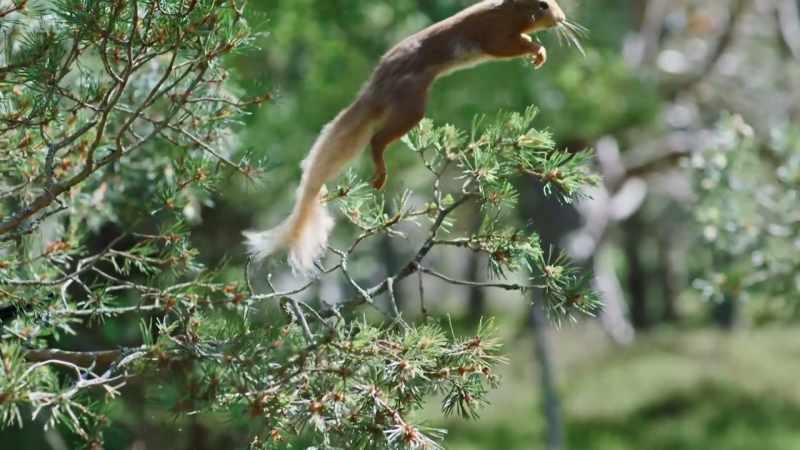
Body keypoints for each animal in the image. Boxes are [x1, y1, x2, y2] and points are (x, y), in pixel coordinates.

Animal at [245, 0, 570, 274]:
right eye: (543, 5)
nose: (562, 18)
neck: (507, 10)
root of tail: (377, 85)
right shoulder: (494, 32)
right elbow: (505, 45)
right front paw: (537, 51)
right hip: (411, 106)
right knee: (377, 140)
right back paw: (379, 173)